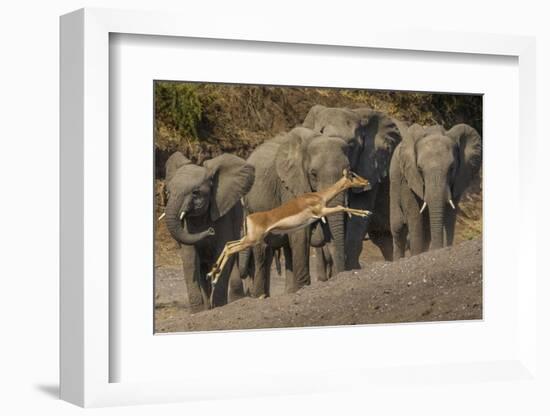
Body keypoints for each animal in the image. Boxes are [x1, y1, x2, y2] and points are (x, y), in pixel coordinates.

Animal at [244, 127, 352, 296]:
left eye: (349, 171)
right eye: (313, 174)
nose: (341, 273)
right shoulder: (289, 186)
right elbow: (300, 233)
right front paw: (304, 287)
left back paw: (289, 291)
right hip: (252, 206)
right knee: (262, 251)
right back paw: (259, 296)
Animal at [392, 122, 484, 258]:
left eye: (452, 168)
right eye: (419, 169)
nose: (436, 250)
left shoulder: (460, 176)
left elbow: (450, 212)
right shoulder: (408, 177)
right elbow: (414, 214)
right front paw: (417, 255)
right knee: (398, 226)